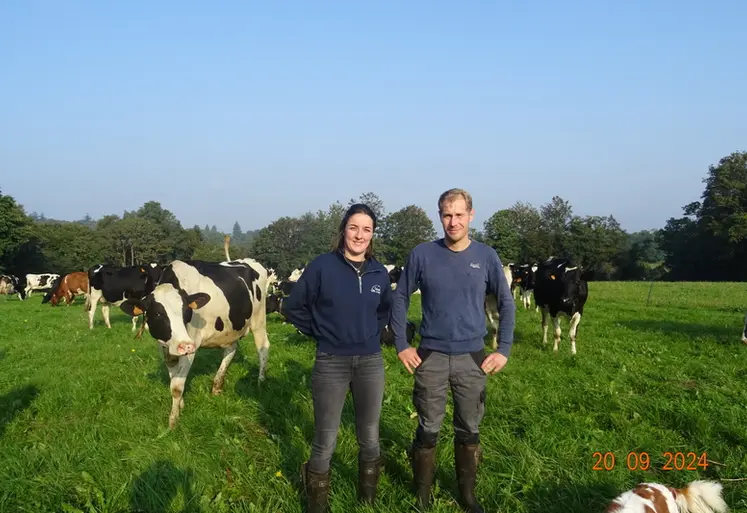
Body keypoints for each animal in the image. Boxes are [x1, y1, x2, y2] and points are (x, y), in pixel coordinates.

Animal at [120, 256, 274, 428]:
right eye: (158, 314)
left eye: (187, 311)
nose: (185, 345)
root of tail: (249, 260)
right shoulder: (165, 348)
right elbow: (173, 379)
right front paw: (180, 405)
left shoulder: (190, 345)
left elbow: (176, 387)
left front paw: (173, 422)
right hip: (230, 329)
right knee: (231, 350)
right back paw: (217, 386)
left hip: (259, 320)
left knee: (263, 348)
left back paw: (260, 382)